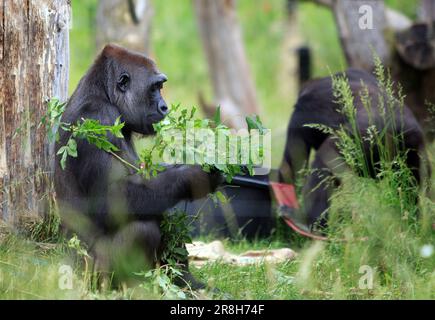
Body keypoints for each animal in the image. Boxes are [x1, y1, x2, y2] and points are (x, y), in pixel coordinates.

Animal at [55, 43, 221, 286]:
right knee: (143, 228)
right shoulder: (97, 119)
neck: (103, 93)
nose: (164, 107)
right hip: (88, 273)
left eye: (161, 87)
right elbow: (110, 199)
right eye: (154, 88)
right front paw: (192, 177)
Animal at [280, 67, 430, 229]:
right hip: (415, 150)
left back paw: (307, 221)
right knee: (412, 187)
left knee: (324, 163)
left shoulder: (300, 115)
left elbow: (292, 164)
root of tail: (397, 129)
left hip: (362, 138)